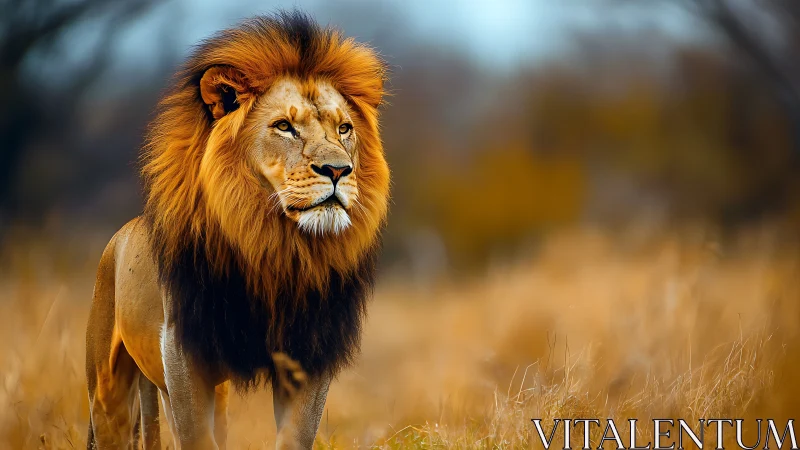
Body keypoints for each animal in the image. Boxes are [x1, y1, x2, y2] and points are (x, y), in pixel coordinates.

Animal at [84, 11, 389, 450]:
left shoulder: (308, 355)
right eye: (284, 126)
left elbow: (294, 437)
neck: (276, 245)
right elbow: (197, 439)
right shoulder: (183, 352)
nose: (338, 170)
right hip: (109, 392)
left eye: (344, 129)